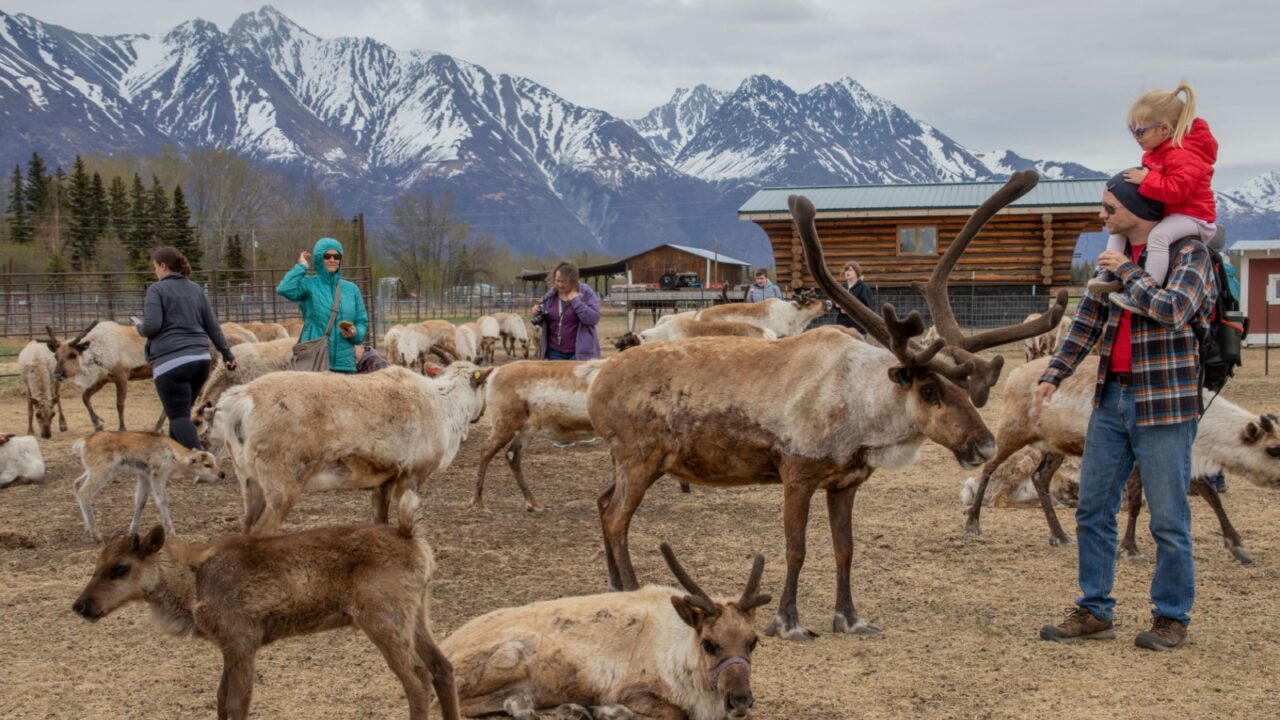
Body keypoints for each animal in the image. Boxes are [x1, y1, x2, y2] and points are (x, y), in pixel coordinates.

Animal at [71, 492, 461, 720]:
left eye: (120, 568)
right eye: (97, 564)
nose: (81, 605)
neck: (192, 584)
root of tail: (412, 536)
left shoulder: (243, 642)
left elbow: (236, 702)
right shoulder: (230, 647)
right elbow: (220, 698)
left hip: (382, 620)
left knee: (417, 678)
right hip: (417, 614)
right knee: (442, 666)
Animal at [442, 543, 768, 720]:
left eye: (753, 642)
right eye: (709, 643)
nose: (740, 699)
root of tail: (446, 646)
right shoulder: (629, 689)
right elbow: (674, 712)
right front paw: (605, 709)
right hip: (510, 655)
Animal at [586, 171, 1068, 641]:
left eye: (968, 388)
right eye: (929, 390)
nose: (985, 445)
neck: (861, 415)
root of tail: (596, 385)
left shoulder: (845, 483)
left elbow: (845, 549)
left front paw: (850, 618)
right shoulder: (797, 475)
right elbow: (795, 550)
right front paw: (788, 622)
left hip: (626, 461)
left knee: (602, 503)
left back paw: (613, 585)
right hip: (640, 457)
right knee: (617, 519)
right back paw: (631, 588)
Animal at [963, 355, 1280, 564]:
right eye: (1273, 449)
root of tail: (1014, 372)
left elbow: (1212, 495)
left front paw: (1237, 545)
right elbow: (1137, 503)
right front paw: (1129, 548)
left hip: (1055, 445)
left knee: (1041, 479)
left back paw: (1060, 535)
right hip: (1012, 430)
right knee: (989, 467)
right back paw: (973, 522)